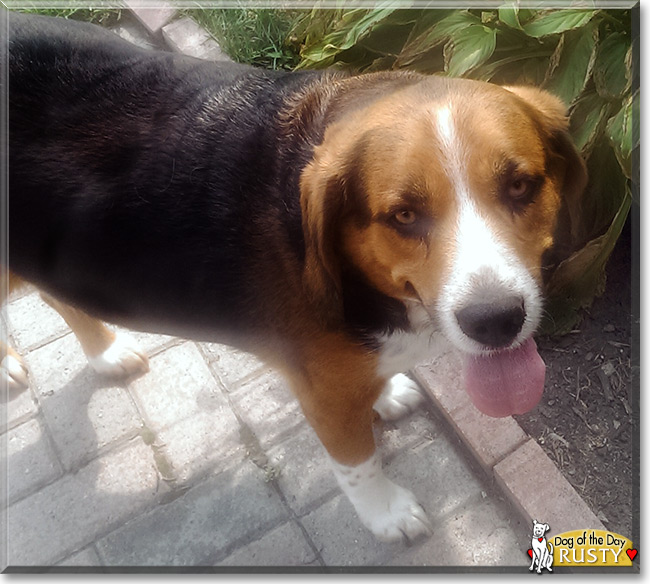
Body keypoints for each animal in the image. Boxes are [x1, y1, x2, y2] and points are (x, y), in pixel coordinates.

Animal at [2, 12, 584, 544]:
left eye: (520, 186)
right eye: (403, 215)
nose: (496, 321)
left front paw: (384, 394)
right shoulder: (321, 392)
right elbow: (358, 462)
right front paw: (386, 514)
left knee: (61, 298)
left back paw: (106, 354)